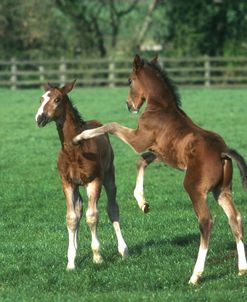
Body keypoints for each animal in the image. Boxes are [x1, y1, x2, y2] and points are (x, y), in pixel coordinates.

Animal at [34, 80, 127, 268]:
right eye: (41, 99)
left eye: (57, 99)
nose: (40, 118)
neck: (74, 150)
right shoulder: (67, 183)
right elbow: (71, 218)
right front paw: (71, 261)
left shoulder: (94, 180)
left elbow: (92, 216)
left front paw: (97, 257)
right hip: (78, 186)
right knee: (78, 211)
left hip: (109, 176)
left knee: (112, 208)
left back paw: (123, 250)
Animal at [73, 55, 247, 284]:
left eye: (129, 80)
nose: (129, 105)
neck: (160, 107)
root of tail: (222, 152)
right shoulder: (157, 151)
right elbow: (142, 161)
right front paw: (142, 202)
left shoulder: (138, 139)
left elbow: (112, 125)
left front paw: (80, 136)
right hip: (222, 190)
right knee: (235, 219)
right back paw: (242, 268)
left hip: (195, 188)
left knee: (206, 222)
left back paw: (195, 275)